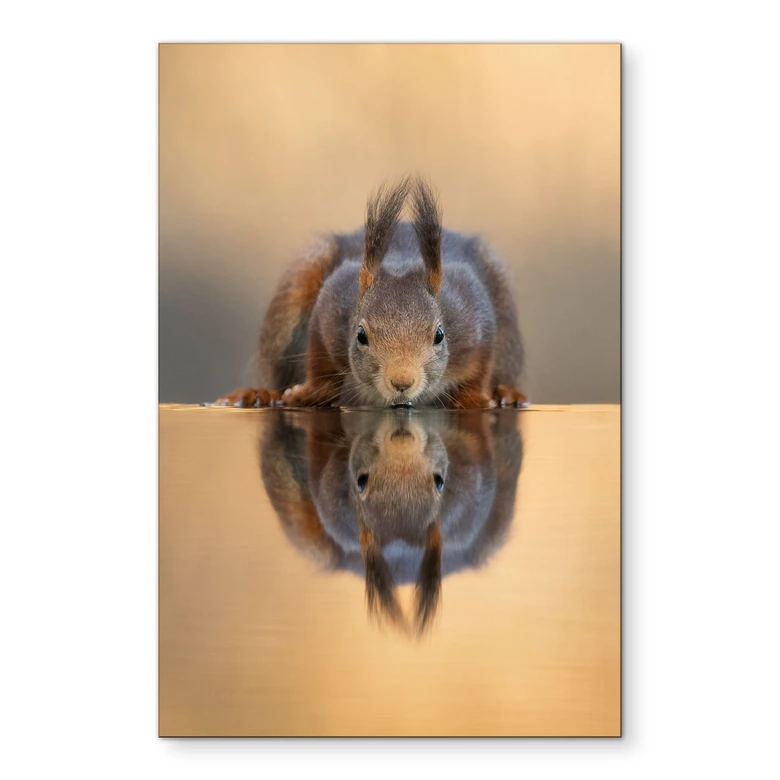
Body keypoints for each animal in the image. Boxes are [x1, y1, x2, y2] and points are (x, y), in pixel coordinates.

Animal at [217, 176, 528, 409]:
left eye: (439, 335)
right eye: (361, 336)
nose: (401, 382)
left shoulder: (473, 314)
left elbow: (480, 368)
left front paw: (476, 399)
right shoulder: (332, 306)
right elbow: (320, 366)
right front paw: (306, 394)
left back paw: (508, 394)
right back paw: (259, 395)